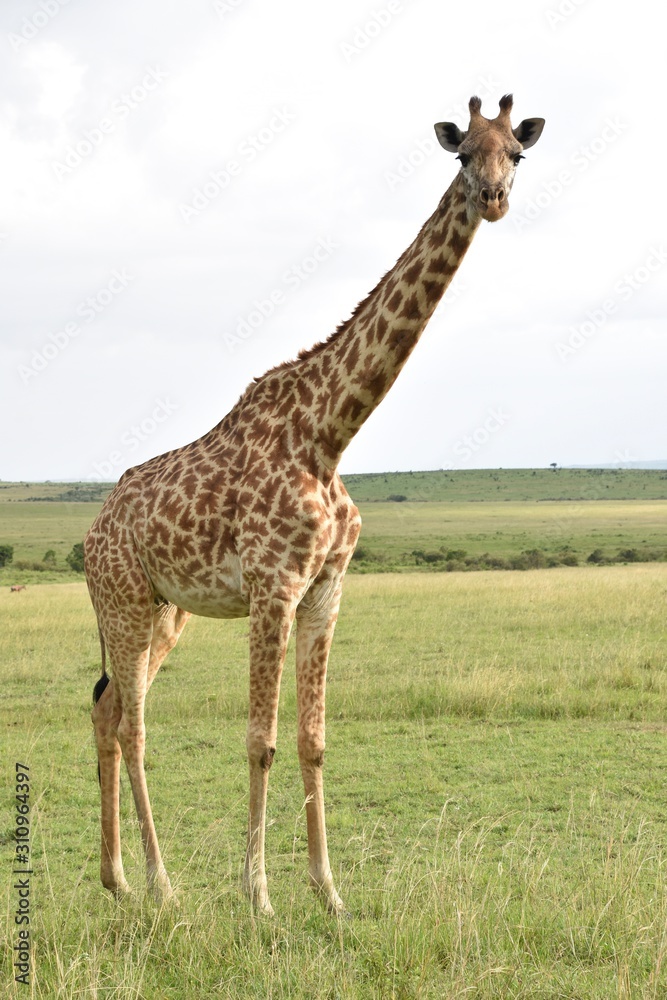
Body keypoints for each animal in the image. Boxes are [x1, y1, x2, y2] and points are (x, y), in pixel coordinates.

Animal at [85, 94, 544, 916]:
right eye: (463, 154)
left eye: (516, 155)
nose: (493, 198)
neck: (329, 434)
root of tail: (90, 533)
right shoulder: (274, 588)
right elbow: (259, 740)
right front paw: (259, 898)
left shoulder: (326, 590)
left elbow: (313, 739)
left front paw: (330, 894)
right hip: (126, 603)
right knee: (132, 726)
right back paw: (163, 884)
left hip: (166, 612)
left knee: (108, 712)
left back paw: (119, 879)